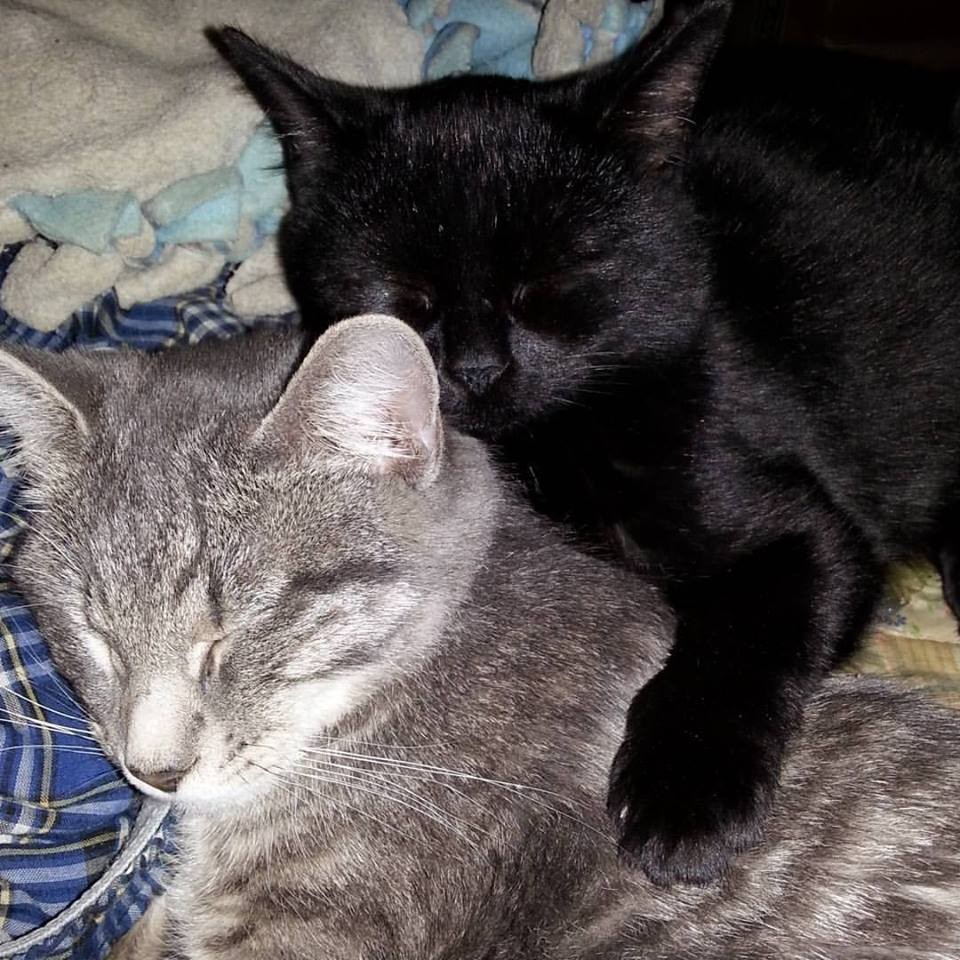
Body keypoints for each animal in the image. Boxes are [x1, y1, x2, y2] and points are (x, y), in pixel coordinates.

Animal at [208, 0, 960, 884]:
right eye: (402, 296)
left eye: (550, 286)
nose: (476, 368)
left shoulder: (809, 530)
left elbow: (737, 637)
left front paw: (684, 790)